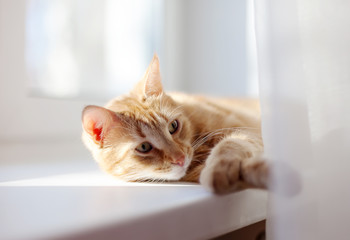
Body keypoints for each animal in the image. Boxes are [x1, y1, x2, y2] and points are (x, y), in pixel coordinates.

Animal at [82, 54, 268, 193]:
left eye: (173, 126)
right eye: (144, 147)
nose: (180, 159)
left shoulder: (246, 131)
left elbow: (230, 144)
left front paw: (219, 168)